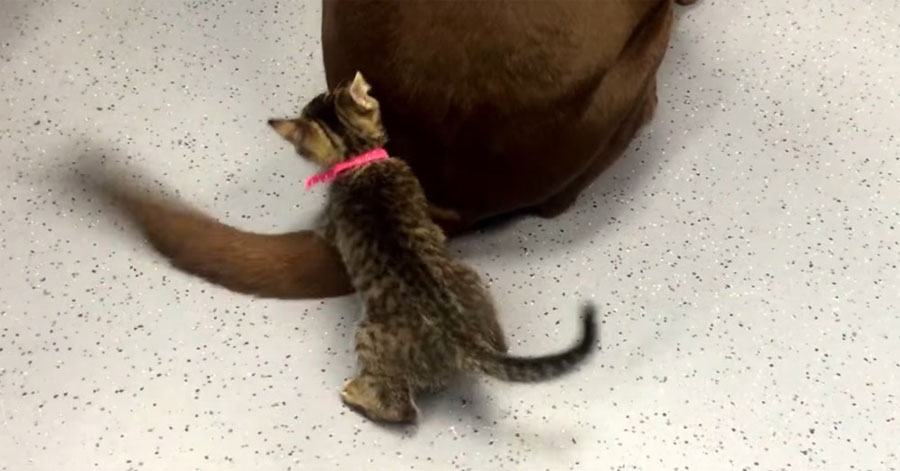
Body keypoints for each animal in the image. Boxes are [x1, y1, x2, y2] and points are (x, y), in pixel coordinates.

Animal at [270, 73, 600, 424]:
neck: (357, 159)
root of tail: (463, 338)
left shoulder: (333, 222)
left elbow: (325, 231)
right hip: (470, 278)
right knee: (499, 344)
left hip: (369, 336)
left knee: (403, 409)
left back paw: (358, 395)